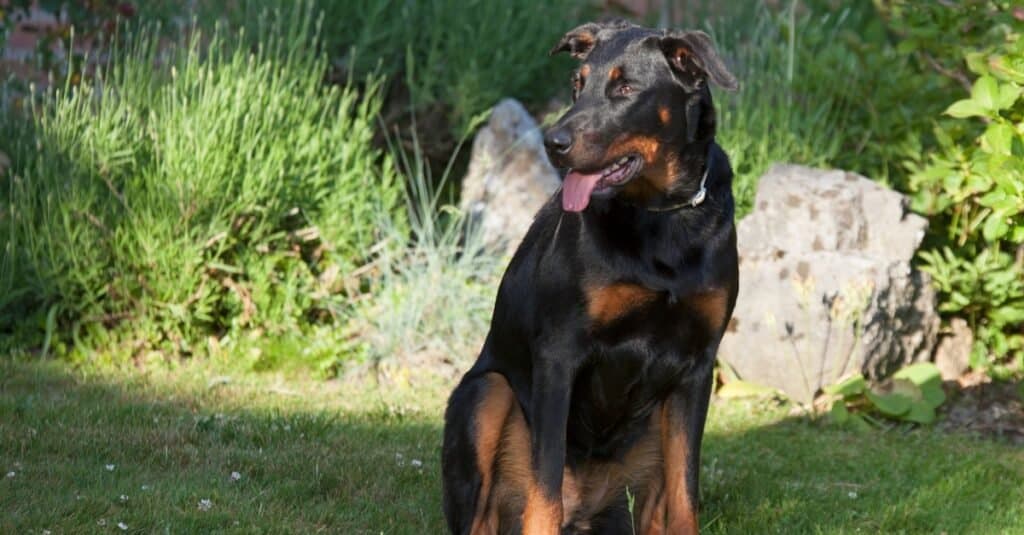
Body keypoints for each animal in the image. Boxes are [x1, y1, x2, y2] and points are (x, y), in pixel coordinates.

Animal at [440, 20, 737, 532]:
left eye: (625, 88)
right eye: (577, 85)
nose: (552, 143)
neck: (662, 219)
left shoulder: (698, 366)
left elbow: (686, 491)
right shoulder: (560, 353)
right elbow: (545, 486)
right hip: (485, 393)